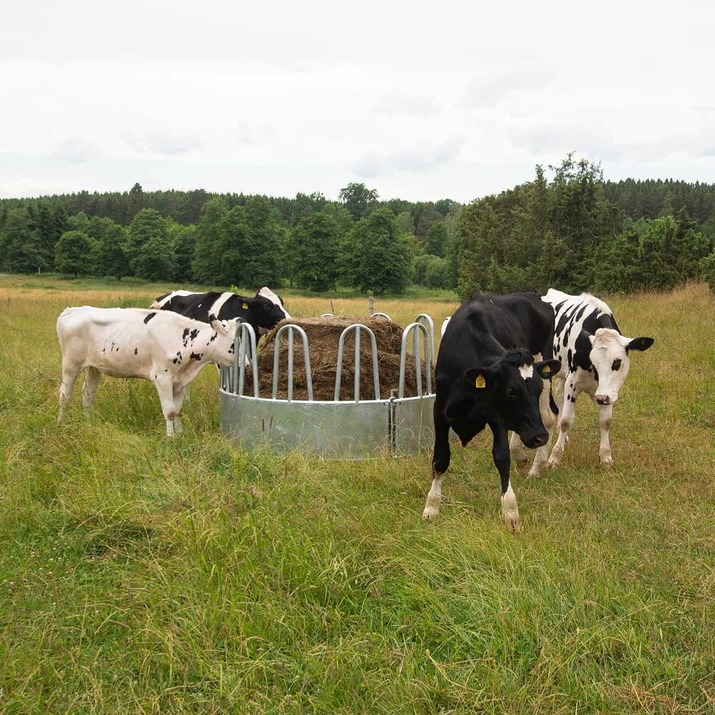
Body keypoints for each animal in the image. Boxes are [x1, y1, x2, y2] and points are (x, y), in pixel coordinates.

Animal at [56, 306, 241, 436]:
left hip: (94, 367)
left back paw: (89, 424)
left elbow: (178, 410)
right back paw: (60, 424)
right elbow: (169, 411)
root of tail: (72, 310)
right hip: (71, 364)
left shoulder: (179, 381)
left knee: (87, 395)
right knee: (64, 395)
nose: (245, 364)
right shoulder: (162, 378)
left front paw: (181, 434)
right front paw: (171, 438)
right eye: (233, 344)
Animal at [422, 294, 564, 536]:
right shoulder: (439, 410)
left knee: (549, 416)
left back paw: (536, 466)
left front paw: (511, 514)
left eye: (535, 389)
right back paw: (523, 454)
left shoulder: (497, 416)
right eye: (511, 391)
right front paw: (431, 507)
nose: (539, 437)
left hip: (544, 364)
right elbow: (440, 458)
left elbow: (501, 457)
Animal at [544, 288, 656, 472]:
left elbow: (605, 421)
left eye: (617, 361)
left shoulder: (608, 391)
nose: (601, 398)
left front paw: (606, 457)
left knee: (559, 395)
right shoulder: (573, 382)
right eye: (594, 361)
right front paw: (554, 458)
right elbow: (567, 421)